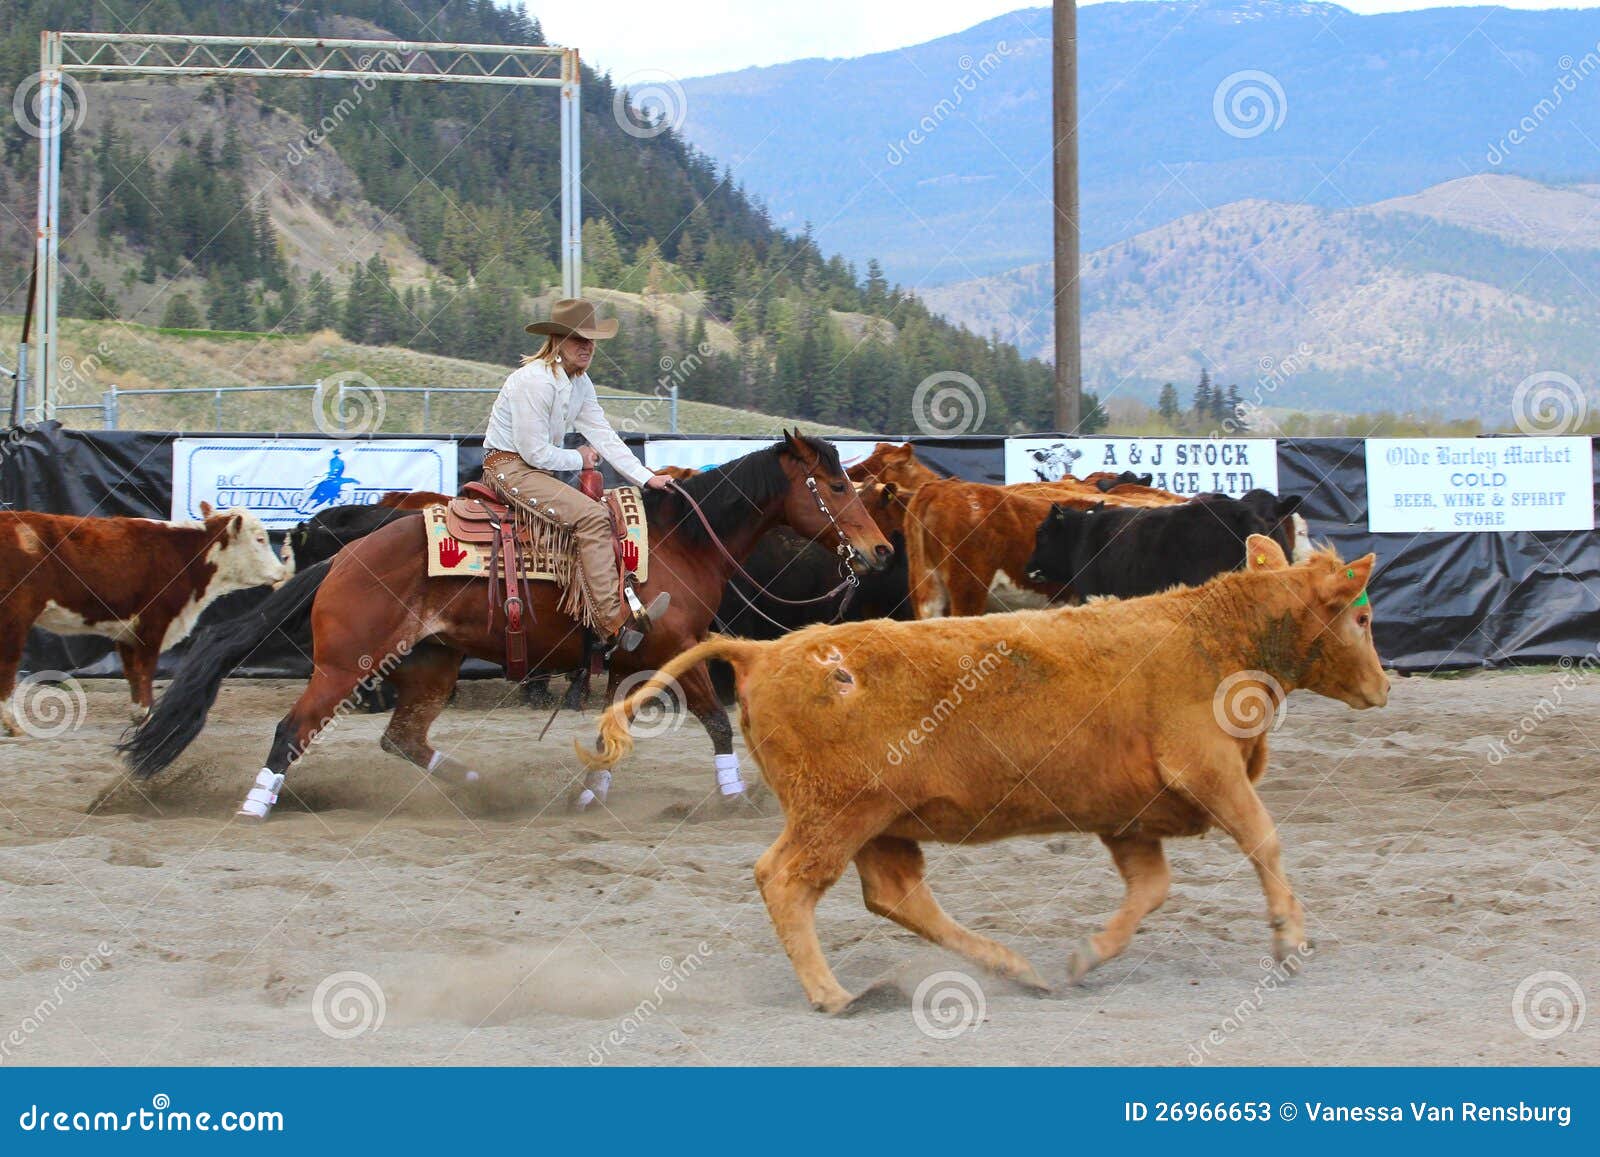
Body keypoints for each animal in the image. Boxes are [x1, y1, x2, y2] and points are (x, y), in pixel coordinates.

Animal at [119, 432, 893, 818]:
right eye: (836, 485)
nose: (882, 550)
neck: (680, 540)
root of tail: (341, 558)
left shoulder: (628, 660)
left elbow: (611, 730)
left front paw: (590, 793)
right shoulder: (674, 648)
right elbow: (716, 724)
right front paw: (738, 800)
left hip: (431, 661)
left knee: (403, 738)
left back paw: (475, 785)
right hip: (345, 666)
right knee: (292, 731)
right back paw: (256, 807)